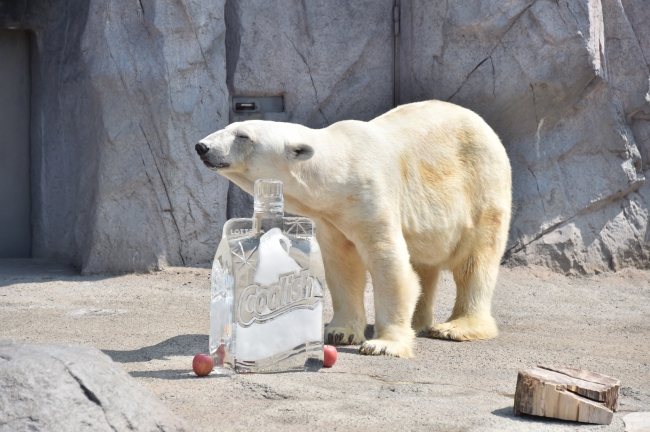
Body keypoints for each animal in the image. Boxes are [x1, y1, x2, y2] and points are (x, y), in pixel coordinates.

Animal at [195, 100, 508, 358]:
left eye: (243, 136)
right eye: (227, 127)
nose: (202, 147)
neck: (337, 175)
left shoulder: (371, 196)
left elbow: (388, 263)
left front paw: (384, 344)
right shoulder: (332, 218)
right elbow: (343, 265)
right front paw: (339, 332)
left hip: (482, 186)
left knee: (474, 260)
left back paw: (456, 327)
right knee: (424, 262)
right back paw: (419, 323)